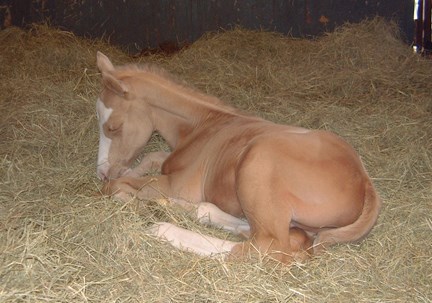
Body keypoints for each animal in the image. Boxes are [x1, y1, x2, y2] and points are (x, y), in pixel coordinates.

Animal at [96, 52, 380, 266]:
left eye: (113, 126)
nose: (101, 171)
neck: (203, 126)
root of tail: (366, 184)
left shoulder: (178, 184)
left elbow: (116, 188)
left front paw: (131, 197)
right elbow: (152, 157)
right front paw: (132, 176)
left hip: (257, 162)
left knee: (269, 246)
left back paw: (164, 228)